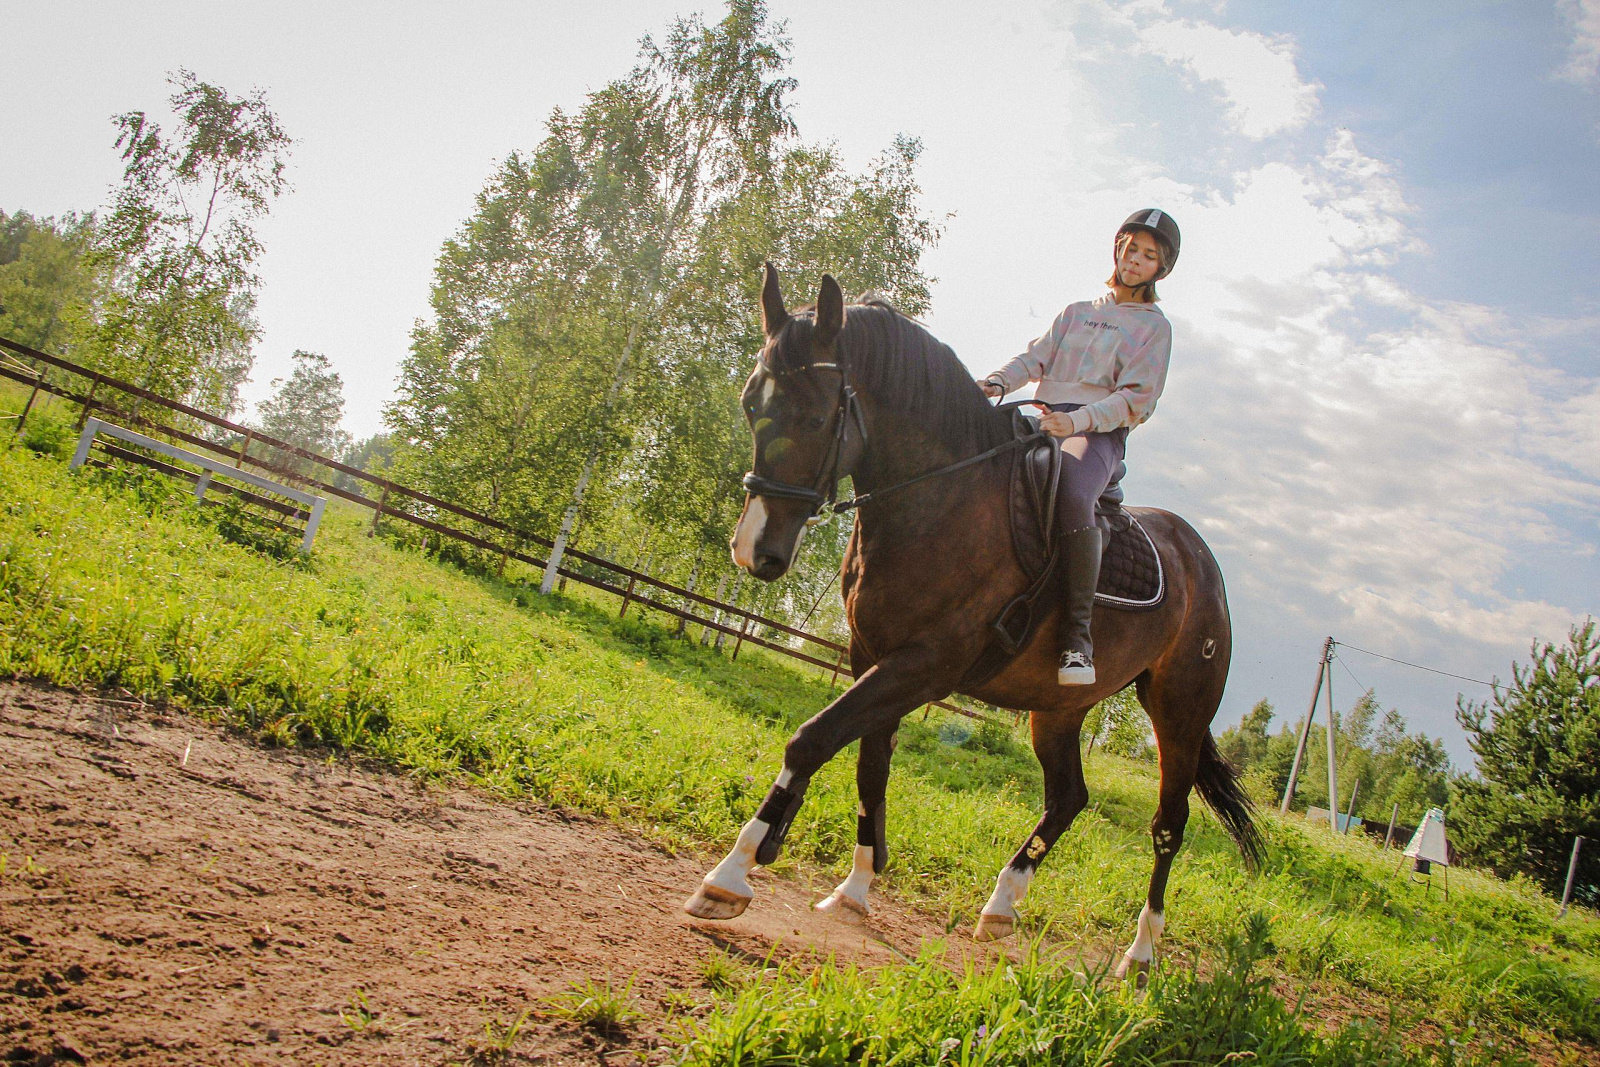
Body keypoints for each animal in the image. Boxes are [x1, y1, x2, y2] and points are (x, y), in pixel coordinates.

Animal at [681, 267, 1254, 979]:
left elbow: (812, 740)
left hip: (1178, 713)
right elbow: (871, 763)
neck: (942, 499)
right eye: (749, 406)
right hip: (1058, 708)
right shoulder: (873, 656)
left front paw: (730, 876)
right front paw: (855, 890)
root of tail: (1202, 561)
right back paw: (1001, 906)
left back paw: (1139, 957)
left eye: (815, 416)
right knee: (1069, 797)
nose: (753, 552)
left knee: (1168, 825)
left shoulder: (925, 665)